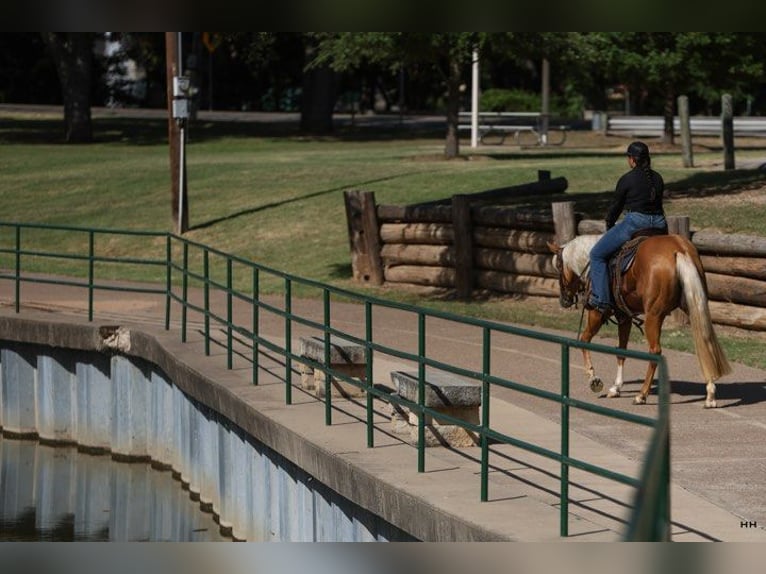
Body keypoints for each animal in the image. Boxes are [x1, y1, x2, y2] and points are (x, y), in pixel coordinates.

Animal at [548, 233, 731, 407]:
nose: (563, 300)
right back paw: (710, 395)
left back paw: (641, 395)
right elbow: (621, 351)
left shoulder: (597, 314)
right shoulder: (624, 316)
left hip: (653, 316)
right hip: (693, 305)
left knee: (655, 352)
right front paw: (616, 388)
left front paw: (593, 379)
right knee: (705, 341)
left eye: (558, 267)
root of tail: (678, 249)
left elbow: (584, 340)